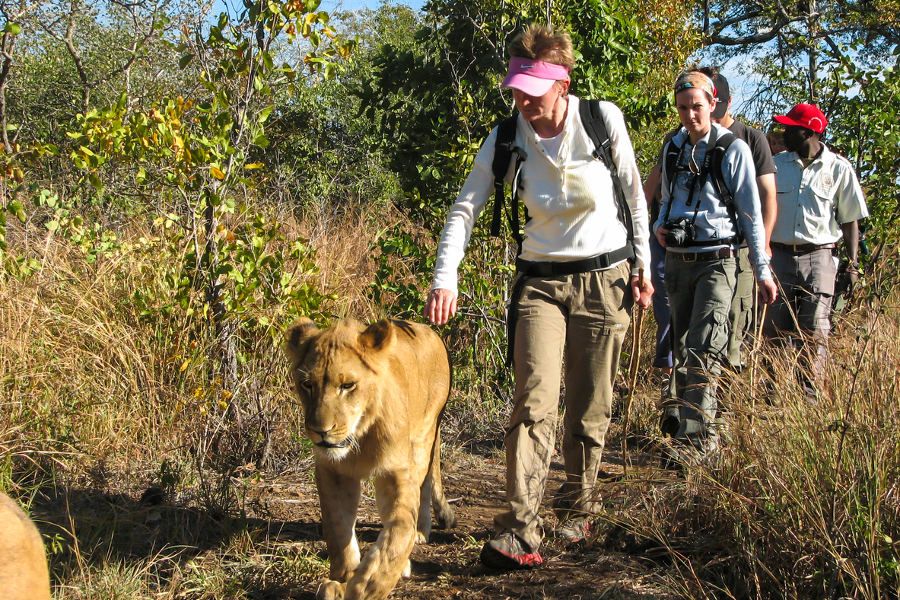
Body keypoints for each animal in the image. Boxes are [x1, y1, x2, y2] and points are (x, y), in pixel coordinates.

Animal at [284, 318, 456, 600]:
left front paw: (367, 586)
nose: (321, 431)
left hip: (424, 437)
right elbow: (338, 527)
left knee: (423, 487)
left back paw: (420, 532)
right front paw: (342, 580)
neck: (359, 439)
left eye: (347, 386)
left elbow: (398, 531)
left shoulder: (396, 472)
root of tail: (428, 329)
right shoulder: (333, 472)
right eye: (307, 384)